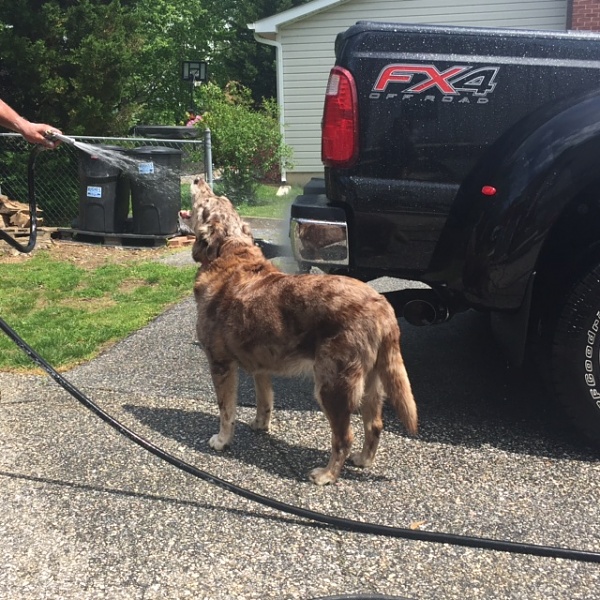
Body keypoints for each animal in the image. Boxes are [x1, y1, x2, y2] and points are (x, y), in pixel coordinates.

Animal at [192, 180, 418, 486]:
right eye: (219, 199)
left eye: (207, 202)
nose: (198, 181)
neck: (229, 252)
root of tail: (382, 307)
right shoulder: (260, 368)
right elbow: (264, 401)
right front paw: (260, 425)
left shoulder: (221, 364)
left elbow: (225, 409)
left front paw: (221, 440)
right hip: (372, 383)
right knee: (374, 425)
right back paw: (363, 460)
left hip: (332, 386)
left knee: (344, 437)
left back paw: (326, 475)